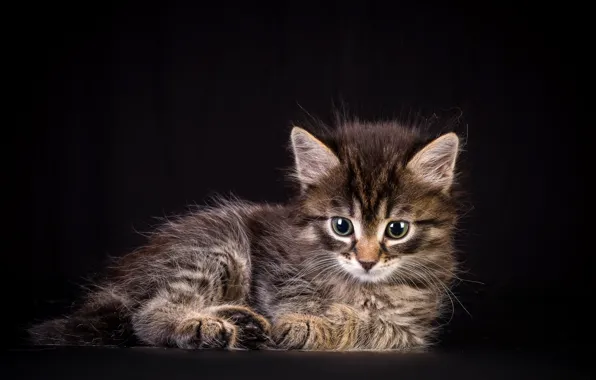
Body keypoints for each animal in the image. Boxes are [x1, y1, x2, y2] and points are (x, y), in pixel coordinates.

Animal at [30, 120, 464, 352]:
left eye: (397, 229)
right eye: (342, 226)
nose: (368, 260)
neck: (360, 286)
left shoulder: (412, 327)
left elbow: (375, 326)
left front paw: (330, 321)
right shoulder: (278, 265)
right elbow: (299, 297)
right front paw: (306, 321)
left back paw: (241, 320)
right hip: (216, 253)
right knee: (147, 317)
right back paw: (203, 327)